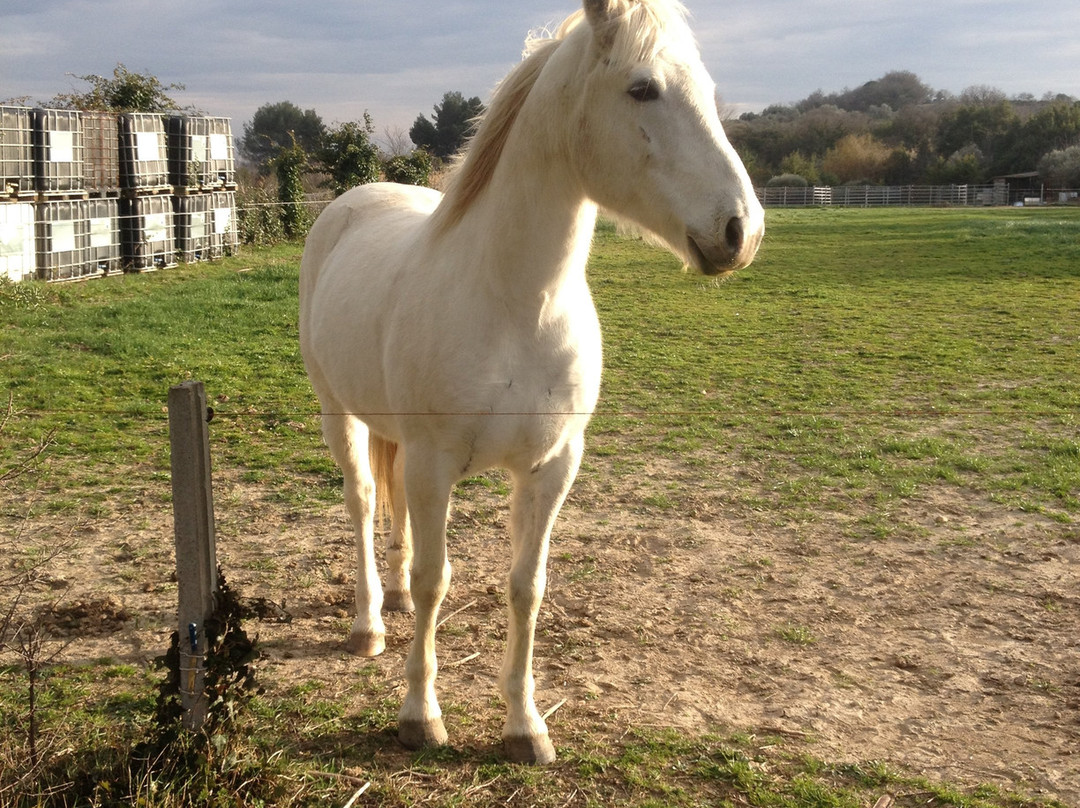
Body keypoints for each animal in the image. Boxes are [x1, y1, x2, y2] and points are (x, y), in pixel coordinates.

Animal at [300, 0, 764, 764]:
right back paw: (370, 624)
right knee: (365, 502)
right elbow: (436, 582)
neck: (518, 304)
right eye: (642, 88)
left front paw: (525, 724)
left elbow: (527, 586)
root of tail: (353, 201)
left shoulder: (551, 467)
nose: (740, 231)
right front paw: (420, 715)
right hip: (341, 415)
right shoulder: (434, 464)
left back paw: (390, 602)